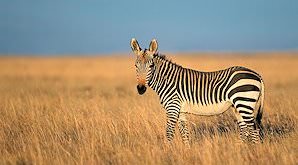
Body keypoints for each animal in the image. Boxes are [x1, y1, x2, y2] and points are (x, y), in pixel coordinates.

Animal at [129, 37, 264, 146]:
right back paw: (240, 149)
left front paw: (167, 153)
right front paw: (186, 152)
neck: (167, 81)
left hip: (244, 102)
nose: (141, 89)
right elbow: (185, 134)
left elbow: (169, 134)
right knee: (245, 129)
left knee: (254, 130)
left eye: (151, 66)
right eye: (136, 65)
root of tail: (257, 74)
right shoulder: (181, 111)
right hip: (238, 106)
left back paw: (254, 151)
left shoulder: (172, 108)